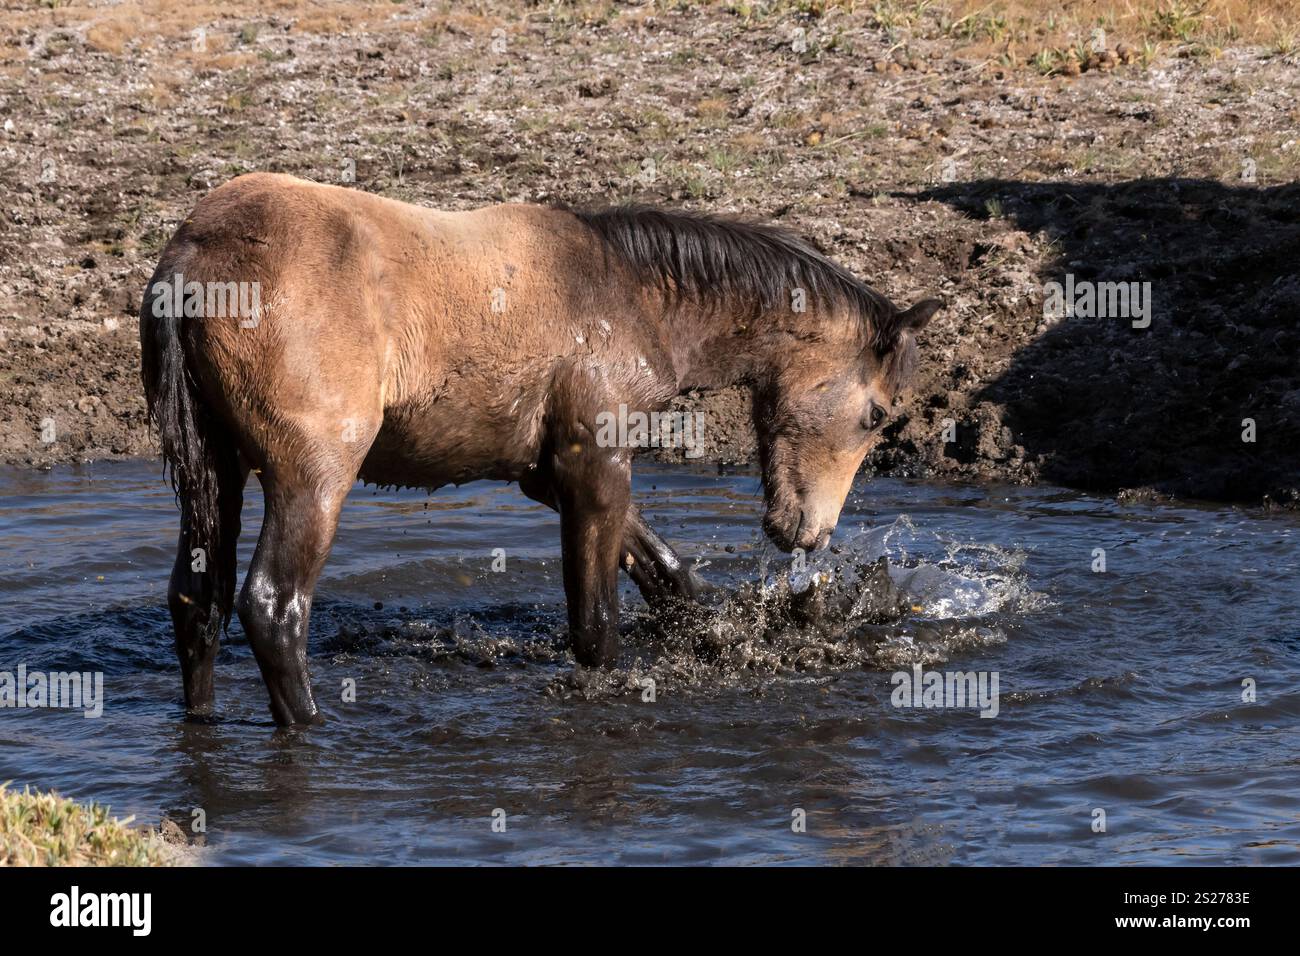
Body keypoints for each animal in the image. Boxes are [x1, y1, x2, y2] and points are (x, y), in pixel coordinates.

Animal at [140, 173, 939, 726]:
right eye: (876, 415)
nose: (809, 533)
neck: (631, 295)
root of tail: (193, 256)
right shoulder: (596, 461)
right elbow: (596, 624)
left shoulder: (546, 473)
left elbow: (668, 575)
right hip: (311, 476)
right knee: (274, 607)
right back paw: (310, 724)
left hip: (216, 471)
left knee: (198, 600)